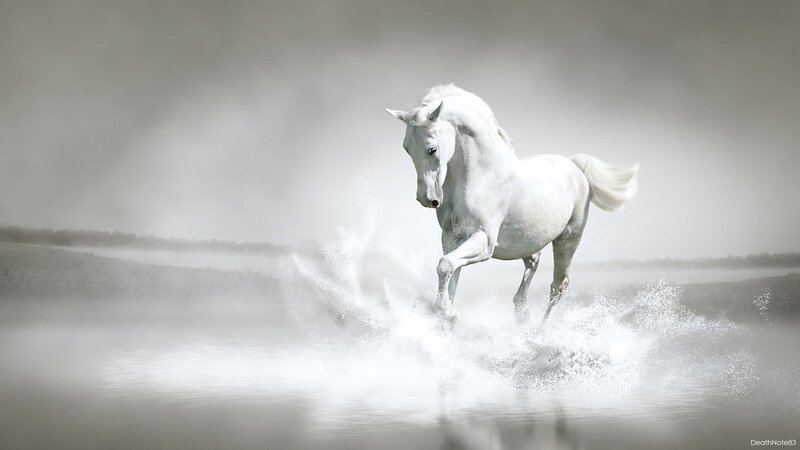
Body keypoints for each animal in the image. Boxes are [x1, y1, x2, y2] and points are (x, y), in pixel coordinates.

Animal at [386, 84, 638, 327]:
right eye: (406, 148)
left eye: (432, 149)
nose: (427, 199)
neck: (483, 176)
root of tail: (575, 166)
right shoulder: (451, 238)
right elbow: (451, 273)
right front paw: (446, 316)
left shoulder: (484, 241)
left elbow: (446, 266)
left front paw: (448, 313)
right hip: (527, 240)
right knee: (534, 263)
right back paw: (521, 312)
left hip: (568, 240)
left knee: (558, 286)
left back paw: (538, 333)